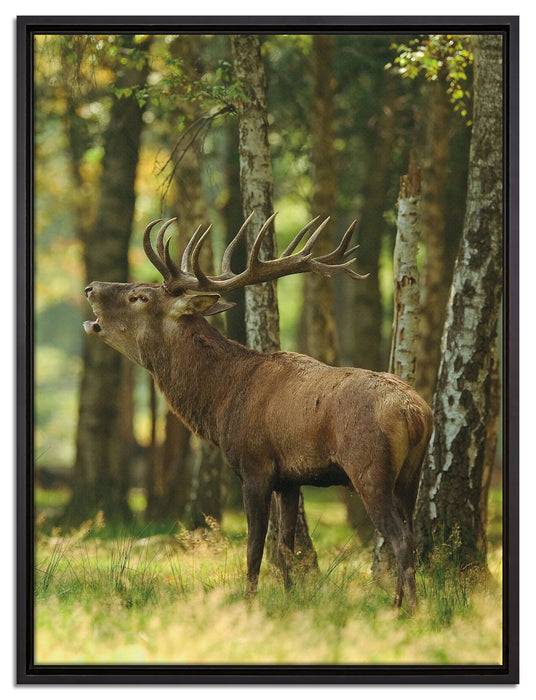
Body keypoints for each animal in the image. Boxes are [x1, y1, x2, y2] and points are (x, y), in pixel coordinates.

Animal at [83, 212, 434, 613]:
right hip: (411, 475)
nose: (91, 287)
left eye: (139, 296)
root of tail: (416, 413)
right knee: (410, 533)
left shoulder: (254, 466)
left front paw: (249, 603)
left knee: (400, 537)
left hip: (369, 467)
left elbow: (254, 548)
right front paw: (291, 599)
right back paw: (400, 603)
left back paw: (407, 610)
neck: (222, 401)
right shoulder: (290, 479)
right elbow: (285, 549)